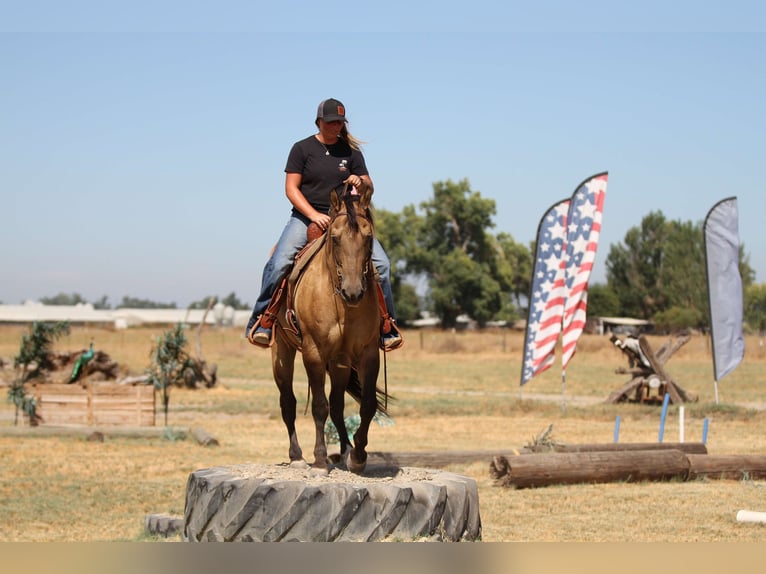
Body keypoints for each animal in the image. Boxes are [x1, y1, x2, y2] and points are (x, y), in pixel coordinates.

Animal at [272, 186, 390, 476]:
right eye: (335, 239)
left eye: (368, 238)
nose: (353, 291)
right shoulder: (313, 352)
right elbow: (318, 406)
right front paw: (319, 461)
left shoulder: (367, 352)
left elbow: (367, 404)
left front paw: (358, 456)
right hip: (282, 351)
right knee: (288, 402)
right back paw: (297, 456)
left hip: (340, 362)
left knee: (337, 405)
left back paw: (346, 451)